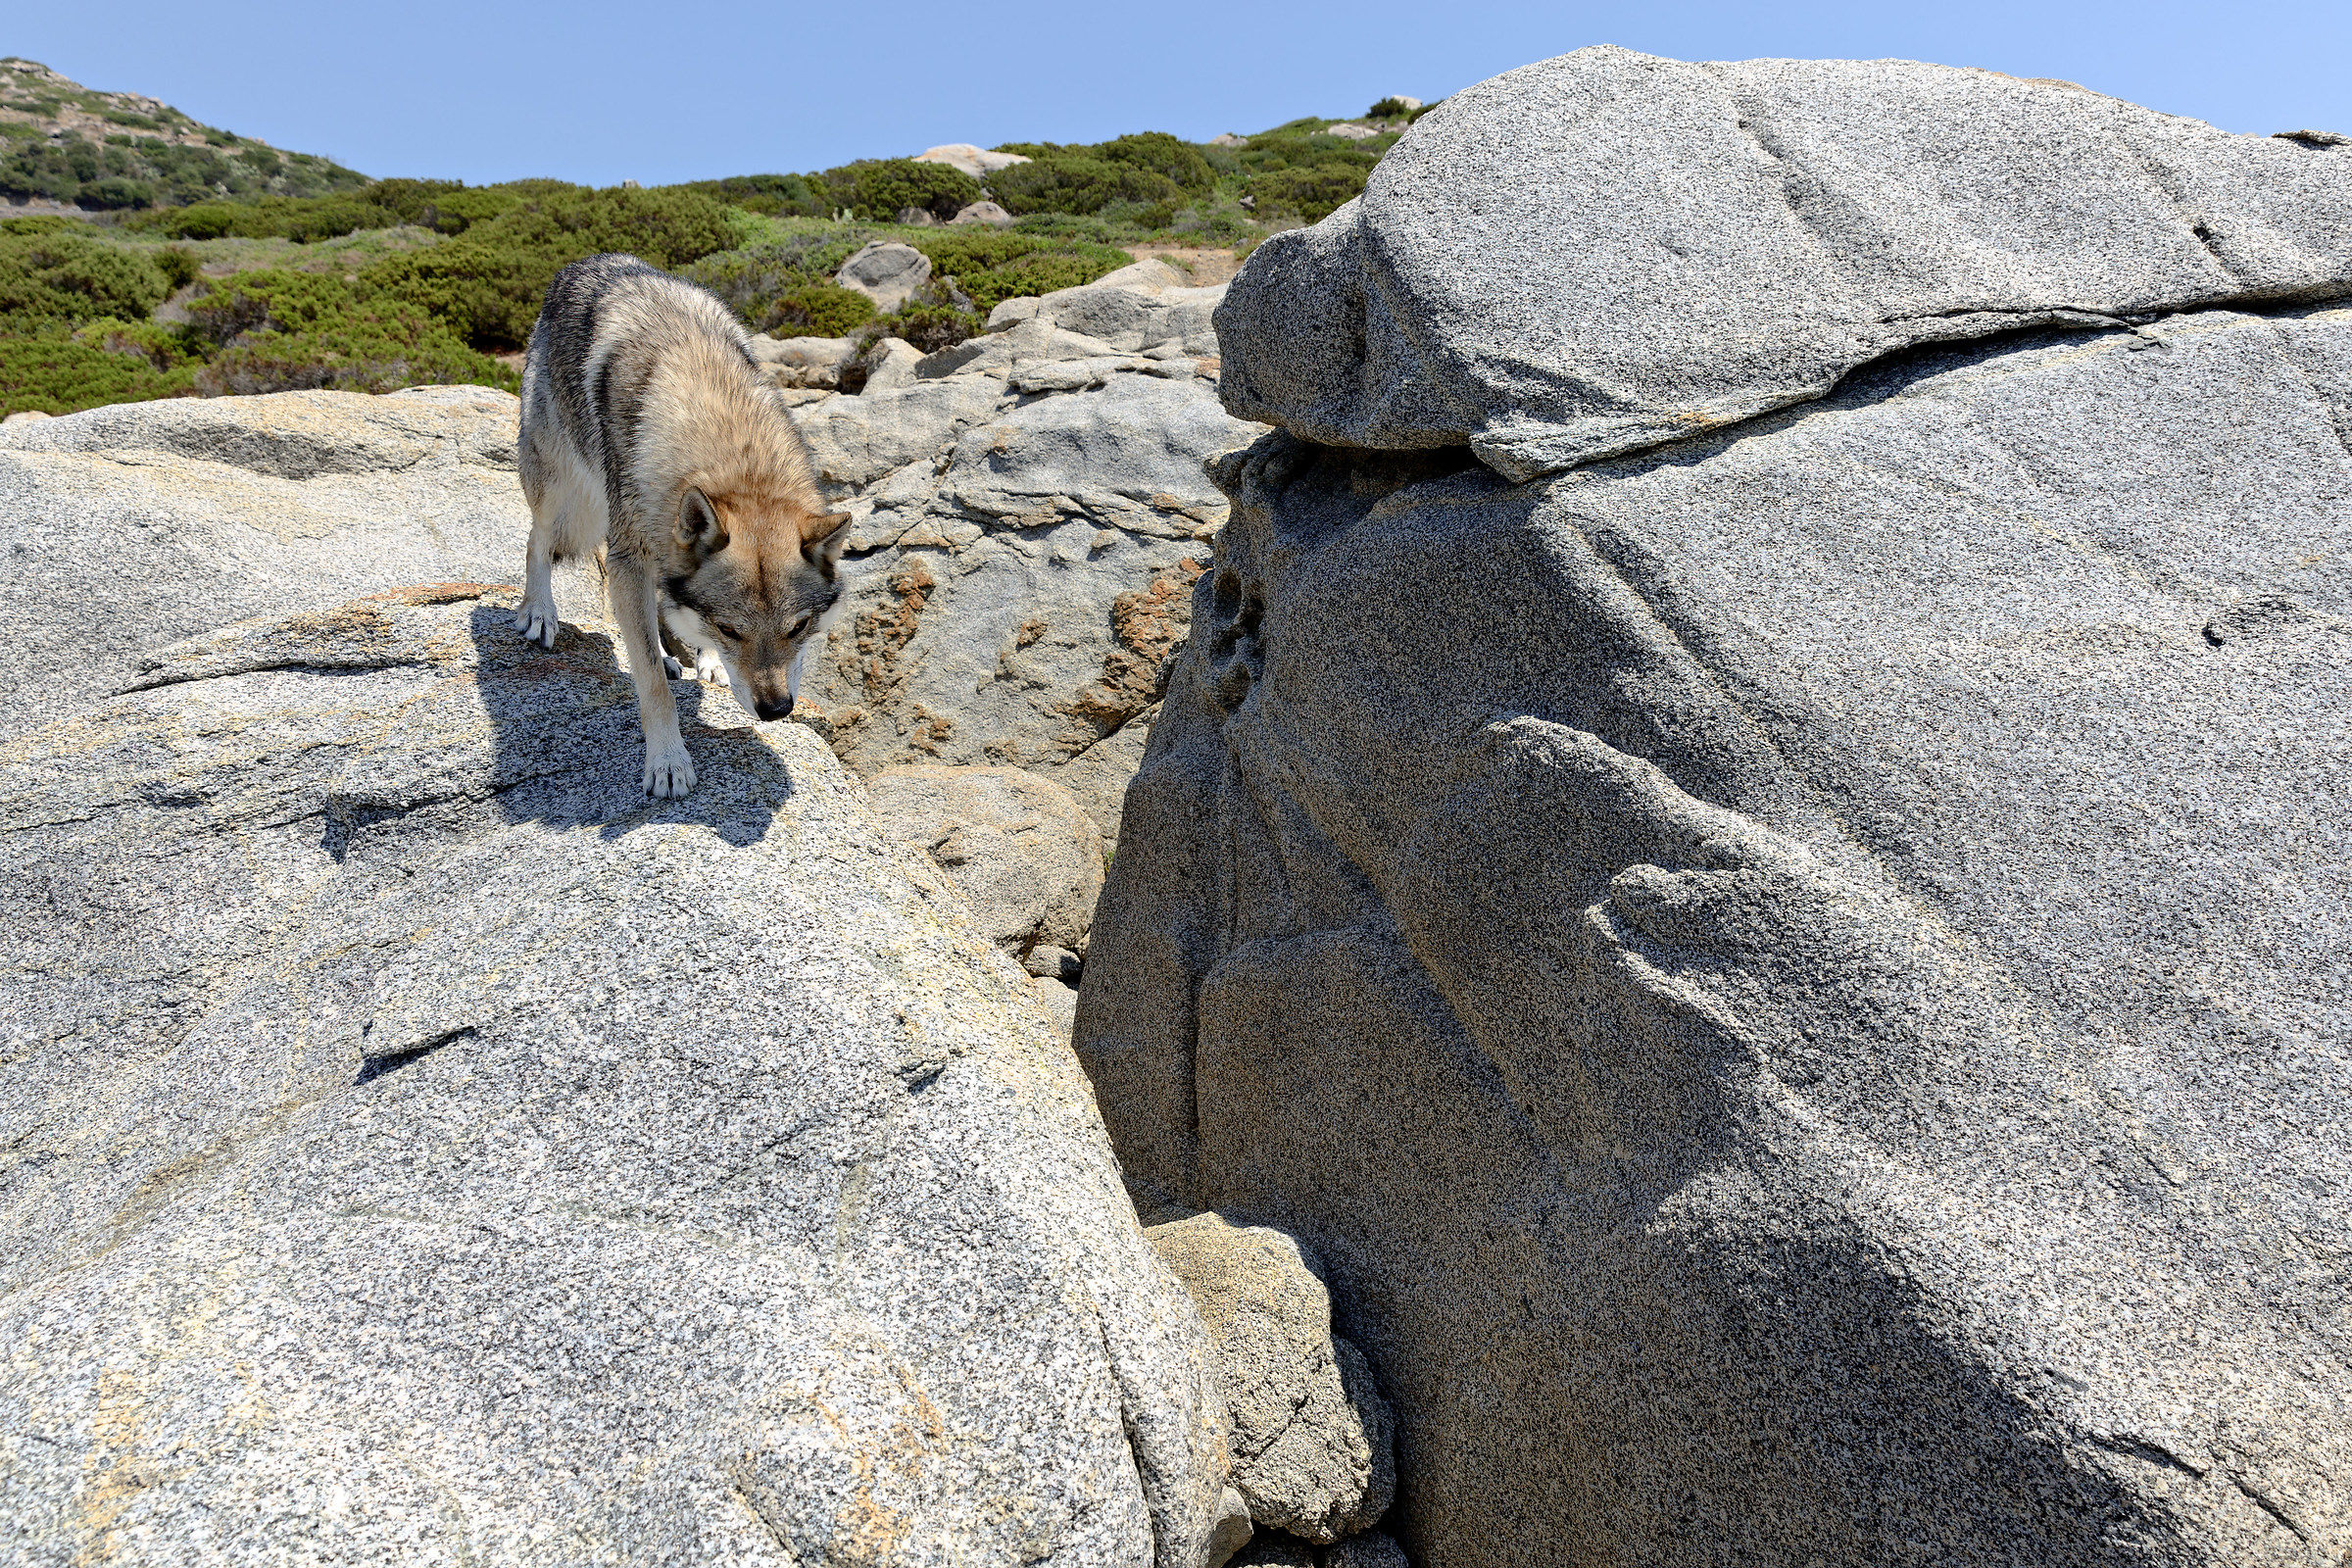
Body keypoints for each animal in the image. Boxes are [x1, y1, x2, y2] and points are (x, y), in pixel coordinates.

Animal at [514, 253, 850, 797]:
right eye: (732, 629)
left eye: (799, 627)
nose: (776, 711)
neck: (734, 456)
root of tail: (585, 261)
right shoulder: (627, 558)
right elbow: (650, 681)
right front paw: (668, 761)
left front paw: (705, 661)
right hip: (569, 496)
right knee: (537, 542)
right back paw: (540, 612)